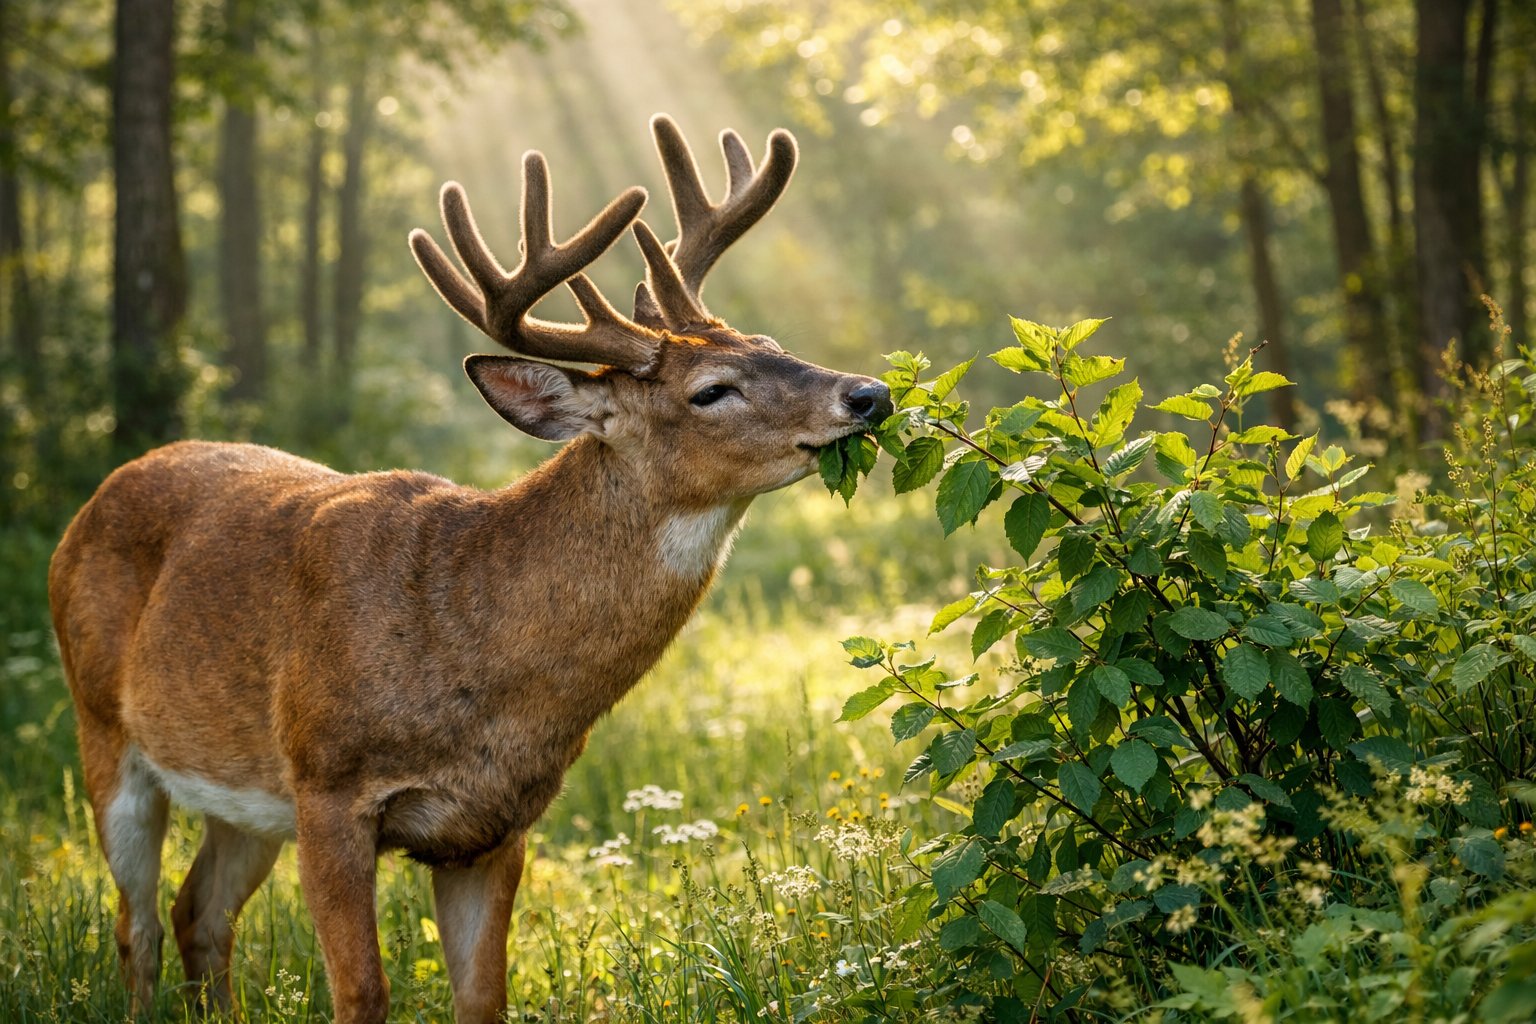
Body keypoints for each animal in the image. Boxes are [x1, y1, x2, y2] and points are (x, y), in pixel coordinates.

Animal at [48, 114, 892, 1023]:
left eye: (770, 342)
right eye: (711, 389)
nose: (869, 393)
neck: (470, 645)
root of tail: (94, 501)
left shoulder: (496, 824)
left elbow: (485, 996)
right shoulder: (326, 785)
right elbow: (364, 993)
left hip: (237, 789)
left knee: (197, 914)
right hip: (105, 730)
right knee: (137, 923)